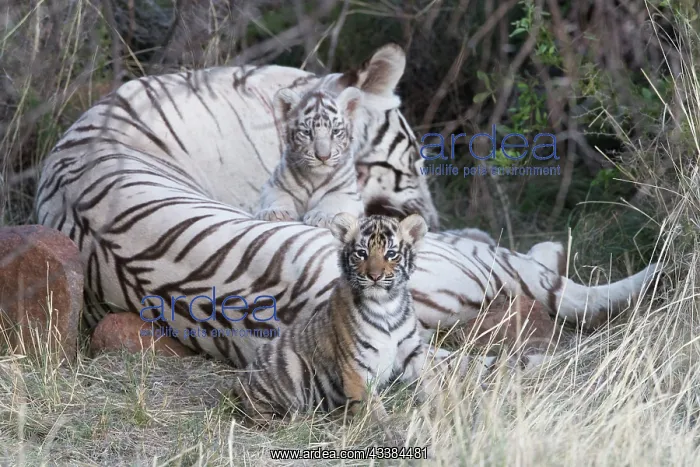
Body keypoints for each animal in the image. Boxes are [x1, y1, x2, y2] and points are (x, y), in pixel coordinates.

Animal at [232, 213, 495, 443]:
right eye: (361, 253)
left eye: (391, 254)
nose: (375, 276)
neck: (386, 306)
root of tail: (241, 380)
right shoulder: (356, 368)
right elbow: (374, 411)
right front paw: (390, 436)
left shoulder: (411, 352)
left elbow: (429, 385)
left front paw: (445, 415)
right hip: (289, 366)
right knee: (262, 417)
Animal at [255, 86, 365, 228]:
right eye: (307, 132)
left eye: (335, 131)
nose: (323, 156)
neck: (316, 177)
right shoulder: (273, 186)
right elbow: (279, 197)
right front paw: (277, 212)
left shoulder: (349, 194)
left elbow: (334, 200)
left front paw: (322, 216)